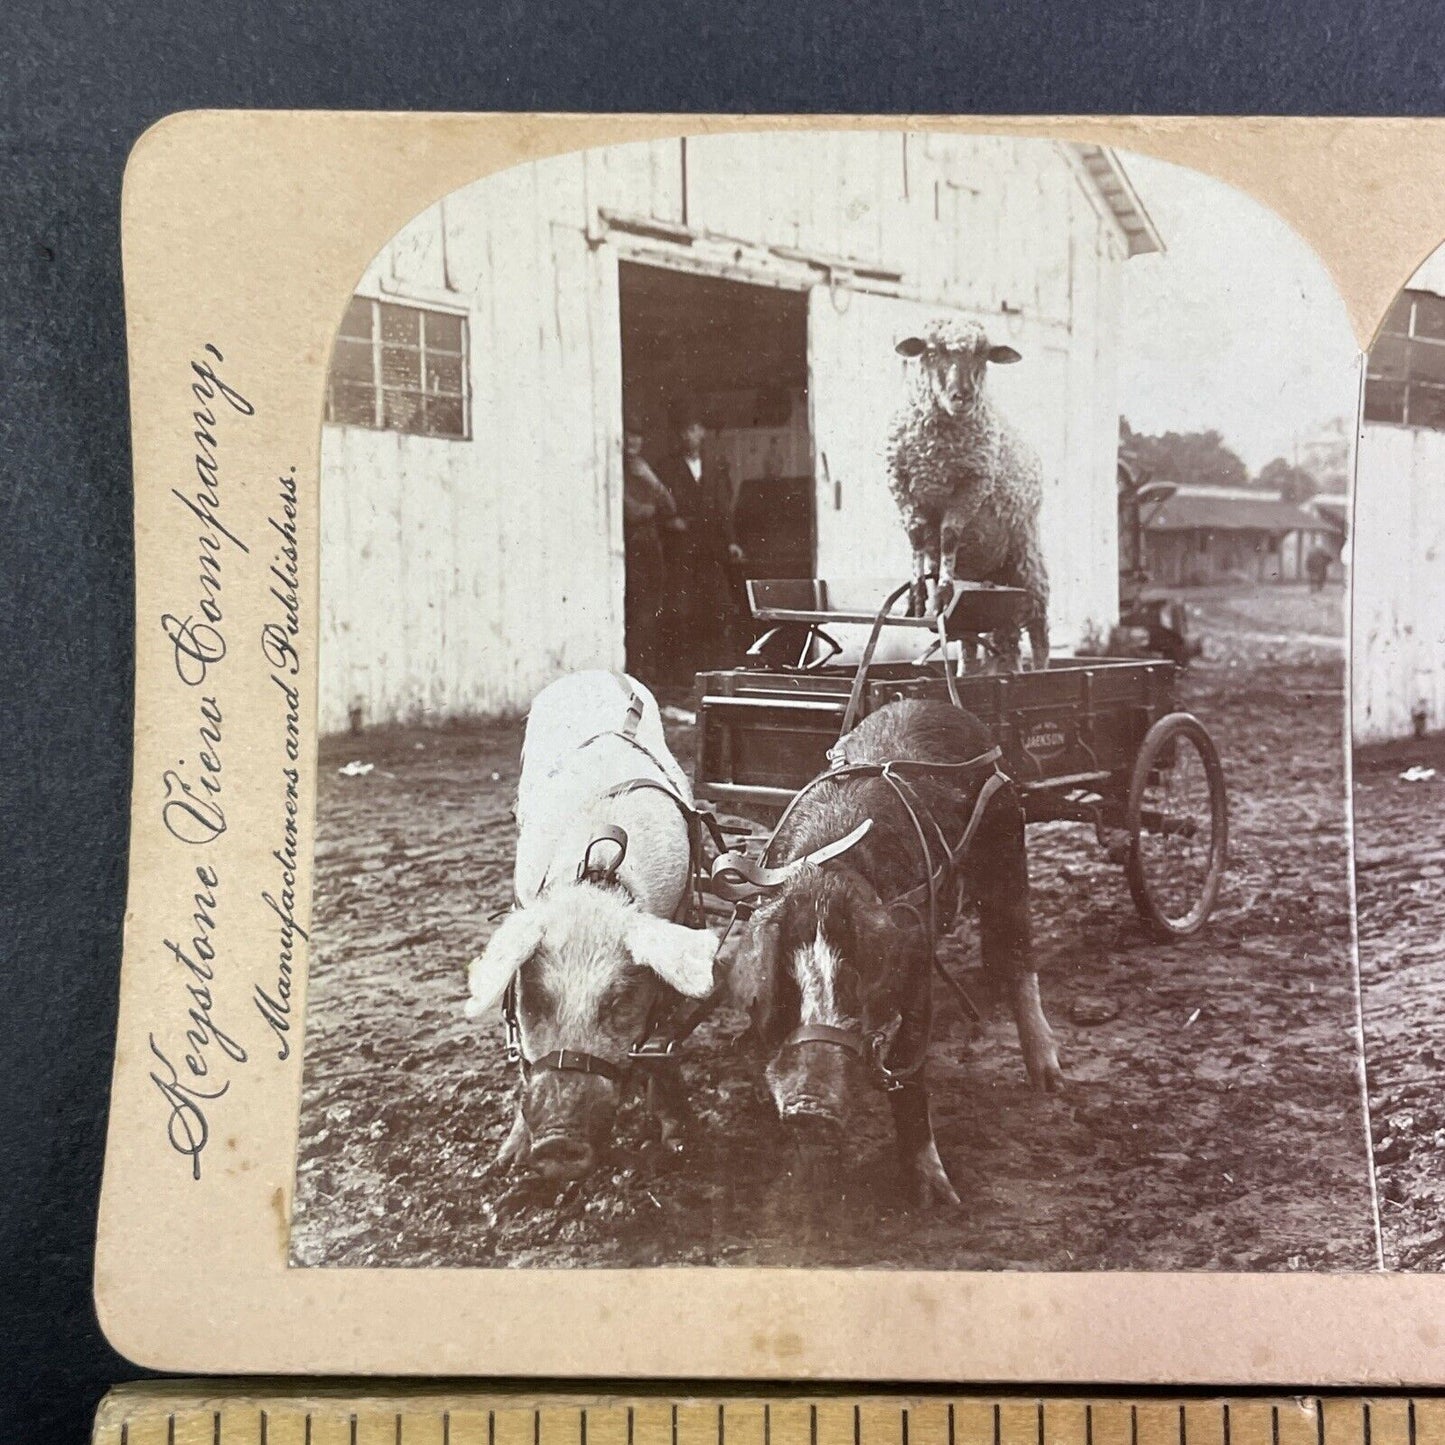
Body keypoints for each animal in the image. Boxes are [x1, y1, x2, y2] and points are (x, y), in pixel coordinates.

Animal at [878, 319, 1051, 667]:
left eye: (983, 356)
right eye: (932, 352)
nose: (963, 397)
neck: (936, 450)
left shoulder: (972, 486)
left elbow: (948, 536)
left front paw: (943, 593)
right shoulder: (901, 483)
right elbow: (916, 536)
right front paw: (918, 597)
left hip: (1025, 551)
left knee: (1038, 622)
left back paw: (1041, 670)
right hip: (990, 575)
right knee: (991, 634)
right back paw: (975, 669)